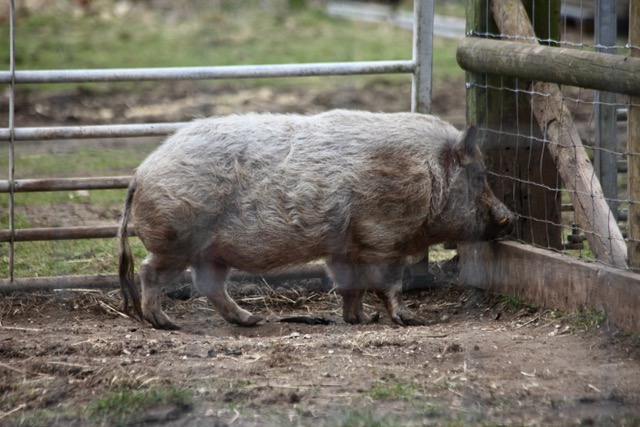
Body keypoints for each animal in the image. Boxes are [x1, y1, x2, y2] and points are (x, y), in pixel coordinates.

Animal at [118, 110, 514, 330]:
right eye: (479, 175)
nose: (510, 217)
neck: (426, 176)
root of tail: (140, 172)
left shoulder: (344, 247)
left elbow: (350, 284)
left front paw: (362, 320)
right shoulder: (384, 234)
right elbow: (388, 281)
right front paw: (412, 320)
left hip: (209, 251)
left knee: (208, 285)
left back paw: (251, 320)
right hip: (176, 239)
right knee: (149, 271)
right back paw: (166, 324)